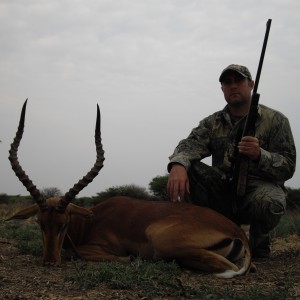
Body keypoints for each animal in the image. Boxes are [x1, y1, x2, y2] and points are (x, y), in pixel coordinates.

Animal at [7, 101, 252, 278]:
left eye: (64, 223)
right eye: (40, 223)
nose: (49, 262)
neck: (89, 222)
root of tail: (236, 231)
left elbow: (74, 252)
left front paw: (130, 259)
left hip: (161, 238)